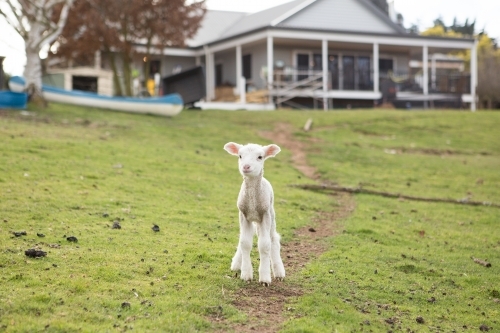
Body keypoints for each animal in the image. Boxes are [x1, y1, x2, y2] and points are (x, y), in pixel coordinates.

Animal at [223, 141, 286, 284]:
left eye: (260, 157)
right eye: (240, 156)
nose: (246, 166)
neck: (252, 201)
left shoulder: (265, 215)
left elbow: (264, 245)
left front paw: (265, 278)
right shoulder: (243, 215)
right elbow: (245, 243)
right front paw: (246, 274)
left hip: (271, 215)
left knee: (274, 239)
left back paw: (279, 271)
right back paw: (237, 264)